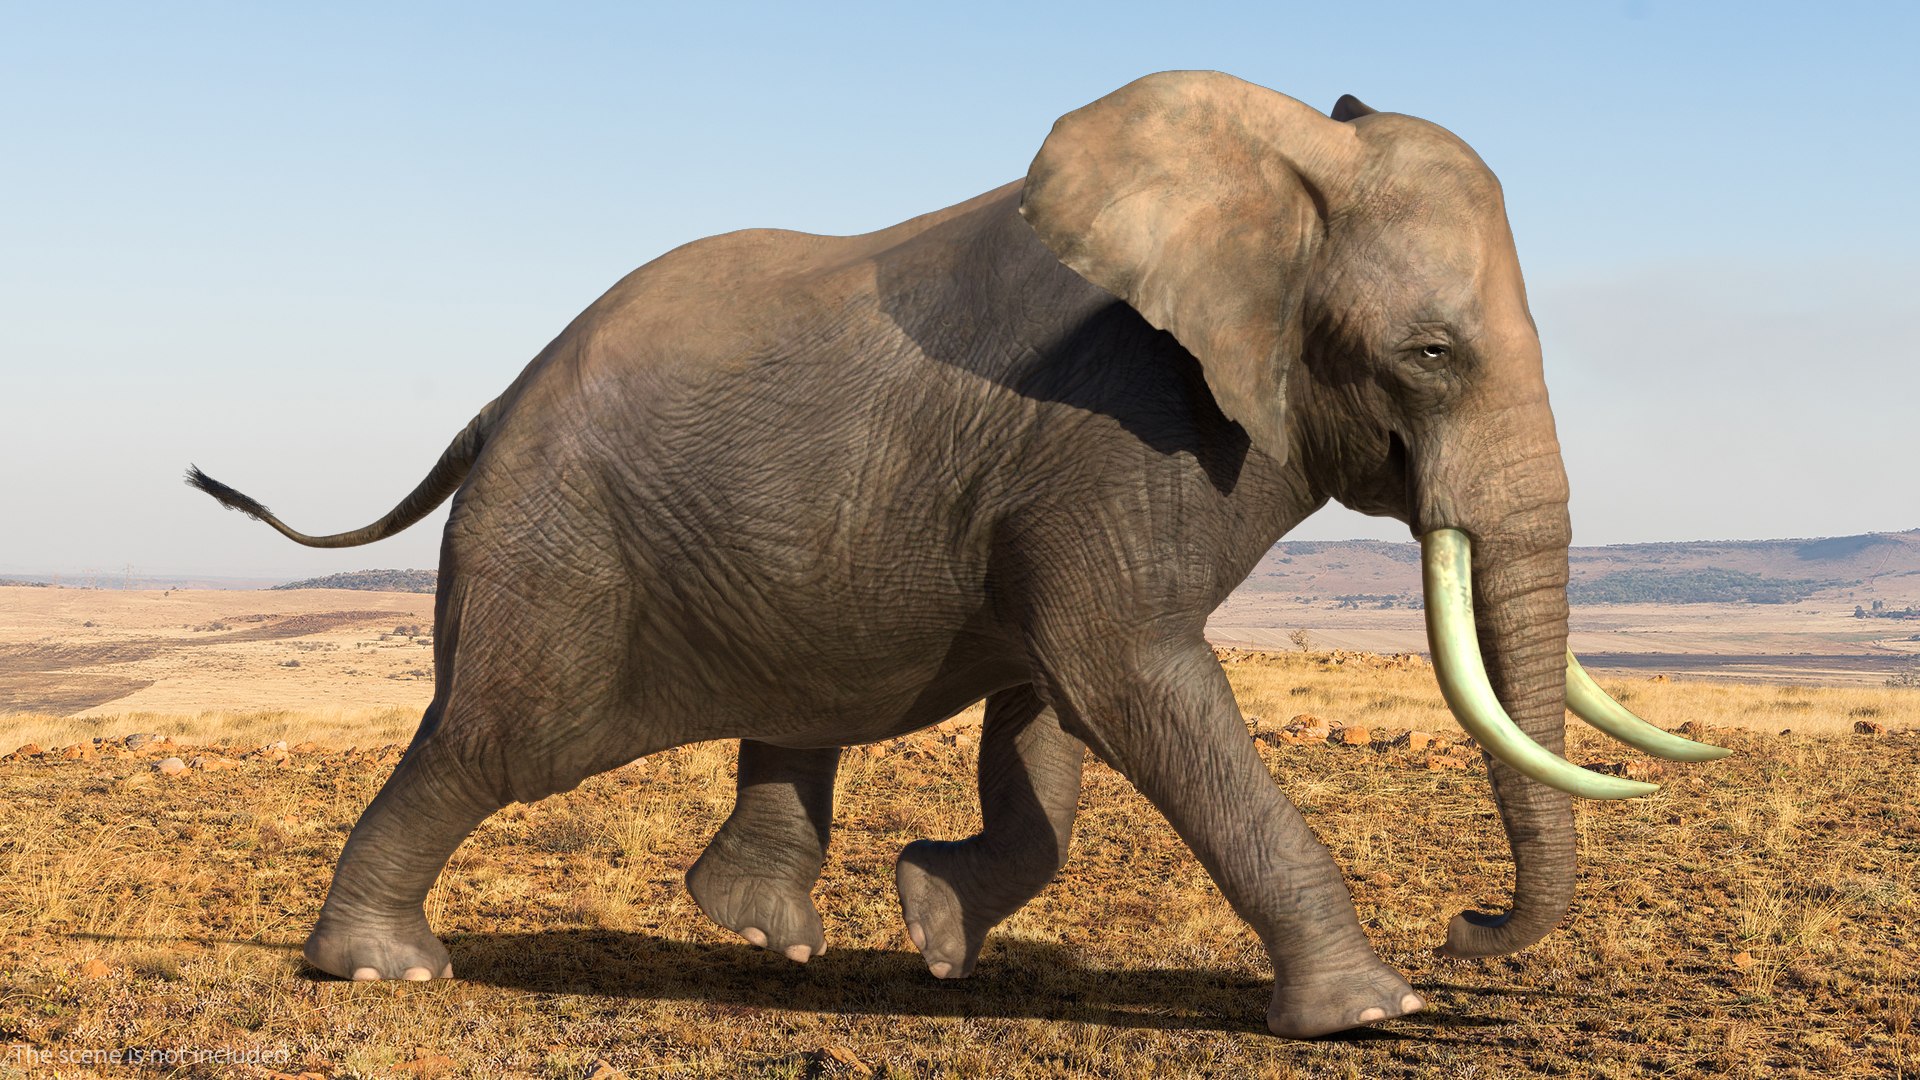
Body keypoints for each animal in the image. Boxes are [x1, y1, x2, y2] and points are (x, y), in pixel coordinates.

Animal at [188, 71, 1727, 1038]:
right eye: (1431, 354)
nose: (1466, 931)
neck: (1276, 163)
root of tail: (497, 400)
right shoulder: (1114, 429)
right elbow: (1126, 679)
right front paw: (1369, 1015)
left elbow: (1056, 716)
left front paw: (932, 929)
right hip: (557, 546)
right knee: (502, 739)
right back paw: (382, 974)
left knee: (783, 713)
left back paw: (766, 935)